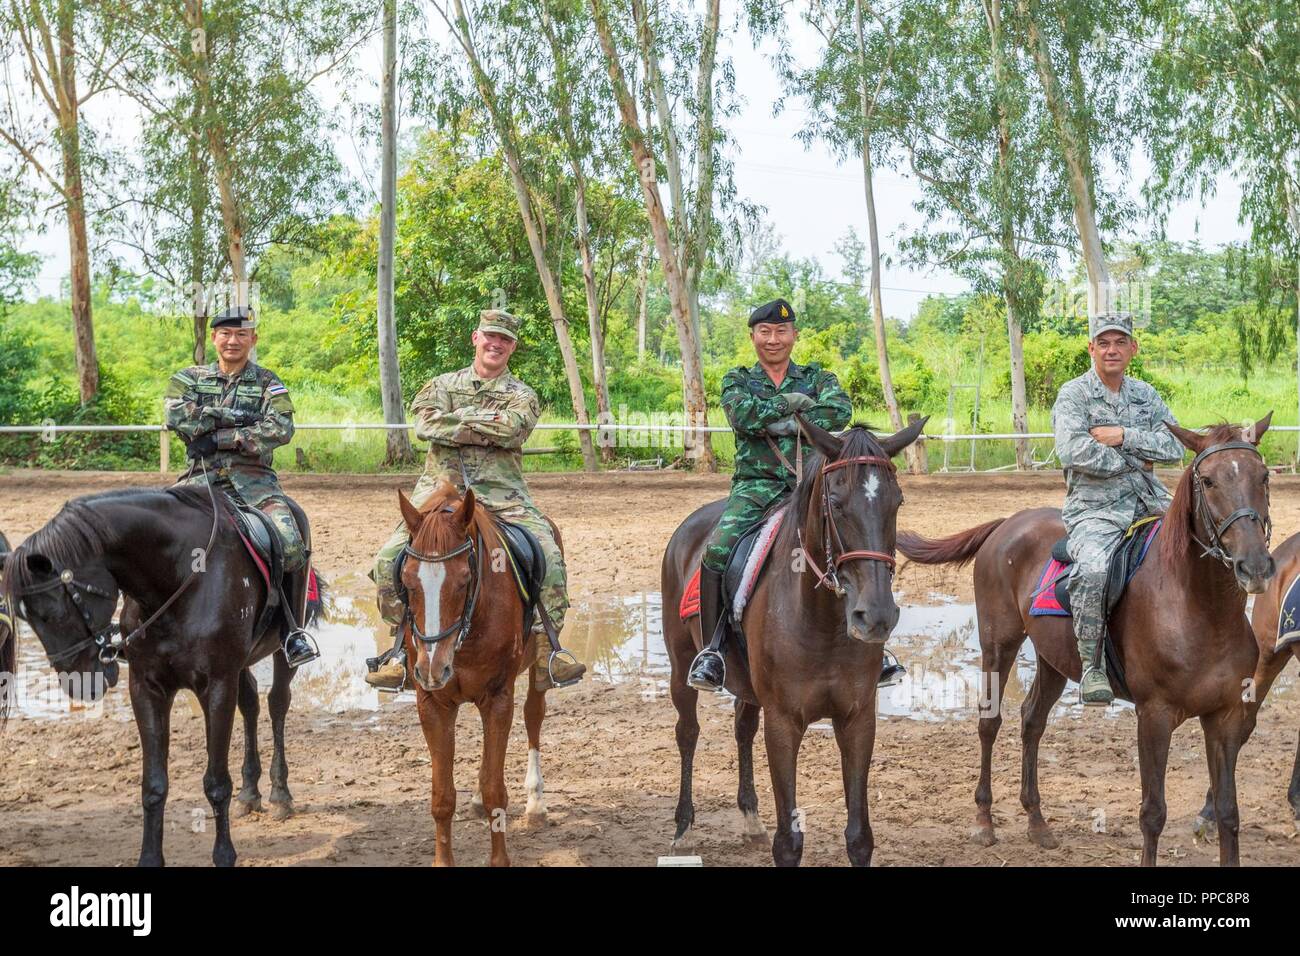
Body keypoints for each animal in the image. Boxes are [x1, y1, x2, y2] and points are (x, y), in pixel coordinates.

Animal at [2, 486, 322, 868]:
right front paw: (150, 857)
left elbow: (216, 782)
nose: (81, 682)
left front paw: (224, 854)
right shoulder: (147, 689)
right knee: (250, 705)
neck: (179, 577)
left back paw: (280, 793)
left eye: (52, 612)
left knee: (276, 705)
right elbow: (153, 785)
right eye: (26, 619)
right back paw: (250, 792)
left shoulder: (217, 686)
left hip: (282, 646)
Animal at [397, 478, 556, 868]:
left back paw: (536, 804)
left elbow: (496, 791)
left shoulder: (498, 698)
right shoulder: (433, 704)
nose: (432, 667)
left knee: (533, 716)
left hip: (535, 670)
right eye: (407, 581)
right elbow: (442, 796)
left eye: (463, 580)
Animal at [665, 418, 930, 868]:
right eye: (836, 504)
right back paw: (683, 827)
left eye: (897, 502)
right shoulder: (784, 722)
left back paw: (750, 817)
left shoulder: (858, 719)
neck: (821, 624)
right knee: (688, 732)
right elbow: (788, 842)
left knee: (742, 728)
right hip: (679, 663)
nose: (877, 616)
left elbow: (859, 837)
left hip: (748, 687)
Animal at [899, 418, 1274, 868]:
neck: (1201, 611)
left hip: (1053, 661)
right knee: (990, 723)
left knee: (1032, 721)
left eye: (1264, 476)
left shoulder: (1225, 718)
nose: (1254, 566)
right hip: (997, 646)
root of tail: (1007, 523)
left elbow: (1228, 813)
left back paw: (1037, 822)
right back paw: (984, 822)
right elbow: (1153, 813)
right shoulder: (1154, 716)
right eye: (1208, 480)